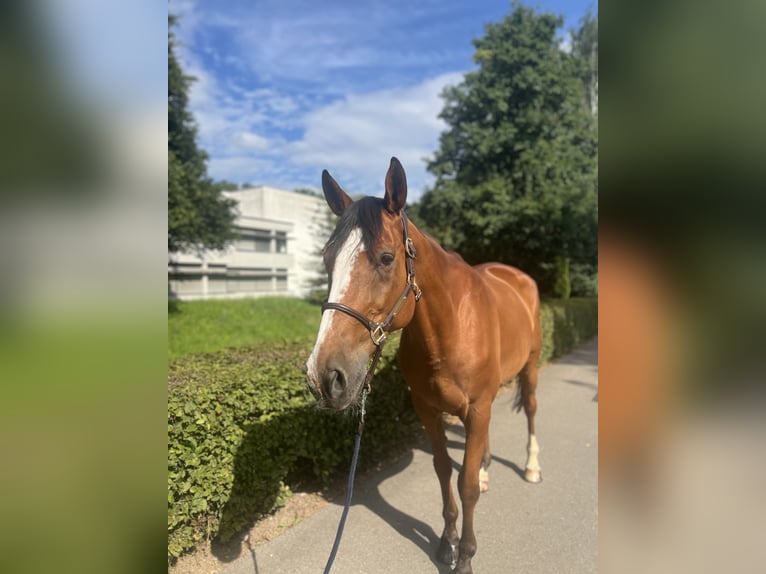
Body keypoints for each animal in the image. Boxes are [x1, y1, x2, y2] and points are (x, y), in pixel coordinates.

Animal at [306, 158, 544, 574]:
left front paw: (465, 556)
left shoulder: (476, 407)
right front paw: (447, 543)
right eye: (326, 259)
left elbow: (464, 484)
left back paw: (531, 466)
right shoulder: (429, 411)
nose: (324, 376)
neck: (451, 327)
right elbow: (445, 471)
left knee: (530, 409)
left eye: (386, 258)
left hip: (528, 368)